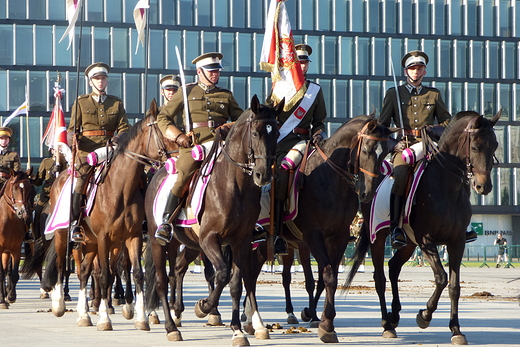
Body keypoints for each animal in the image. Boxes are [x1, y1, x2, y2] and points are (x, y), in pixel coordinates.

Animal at [24, 98, 176, 332]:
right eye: (163, 127)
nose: (184, 149)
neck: (120, 188)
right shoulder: (105, 238)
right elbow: (105, 276)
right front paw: (105, 318)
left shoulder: (132, 237)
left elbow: (136, 273)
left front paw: (141, 317)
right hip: (63, 235)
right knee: (61, 265)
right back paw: (59, 303)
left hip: (91, 242)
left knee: (85, 271)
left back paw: (84, 314)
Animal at [144, 95, 282, 346]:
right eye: (255, 132)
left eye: (275, 132)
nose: (263, 174)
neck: (235, 185)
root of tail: (158, 172)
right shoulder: (210, 239)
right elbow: (222, 274)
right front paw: (204, 307)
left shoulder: (241, 241)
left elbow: (236, 283)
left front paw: (237, 330)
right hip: (160, 241)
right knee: (161, 280)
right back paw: (171, 327)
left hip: (188, 243)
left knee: (177, 269)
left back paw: (177, 313)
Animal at [244, 115, 394, 344]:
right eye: (367, 150)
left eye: (385, 152)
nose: (367, 192)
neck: (330, 179)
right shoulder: (313, 237)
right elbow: (327, 275)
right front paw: (324, 324)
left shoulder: (338, 238)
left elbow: (327, 278)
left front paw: (323, 320)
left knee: (251, 271)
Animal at [346, 111, 500, 346]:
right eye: (475, 147)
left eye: (495, 145)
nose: (484, 186)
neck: (446, 187)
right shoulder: (427, 241)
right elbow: (442, 278)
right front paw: (424, 316)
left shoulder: (456, 243)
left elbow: (454, 286)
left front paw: (456, 330)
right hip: (378, 238)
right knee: (380, 278)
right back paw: (386, 324)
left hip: (409, 243)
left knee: (393, 267)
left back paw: (395, 314)